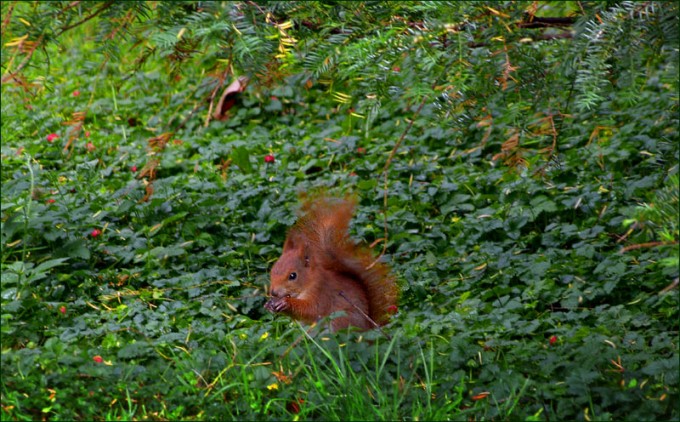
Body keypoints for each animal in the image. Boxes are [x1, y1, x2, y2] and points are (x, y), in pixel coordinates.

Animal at [264, 194, 399, 331]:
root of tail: (369, 327)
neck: (309, 282)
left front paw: (286, 303)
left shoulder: (322, 293)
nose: (273, 292)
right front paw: (269, 305)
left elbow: (310, 309)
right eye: (272, 271)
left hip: (341, 321)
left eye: (293, 275)